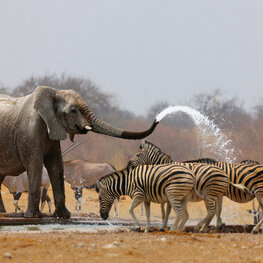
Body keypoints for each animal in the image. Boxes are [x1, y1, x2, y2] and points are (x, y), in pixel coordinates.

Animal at [0, 86, 159, 219]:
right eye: (73, 110)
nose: (156, 120)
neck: (54, 94)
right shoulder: (30, 133)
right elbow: (36, 165)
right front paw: (33, 216)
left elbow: (56, 166)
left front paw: (63, 215)